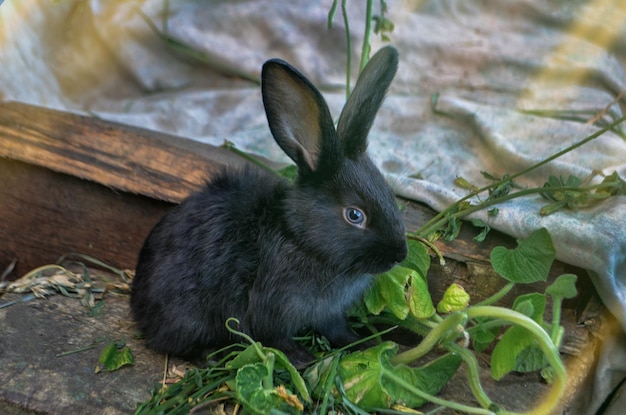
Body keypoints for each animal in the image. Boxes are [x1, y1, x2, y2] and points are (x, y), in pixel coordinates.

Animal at [129, 44, 408, 364]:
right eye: (354, 215)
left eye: (388, 193)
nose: (400, 255)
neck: (300, 239)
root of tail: (138, 306)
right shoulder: (270, 309)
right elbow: (275, 337)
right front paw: (301, 358)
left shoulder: (329, 314)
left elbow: (337, 330)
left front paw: (363, 342)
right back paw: (212, 354)